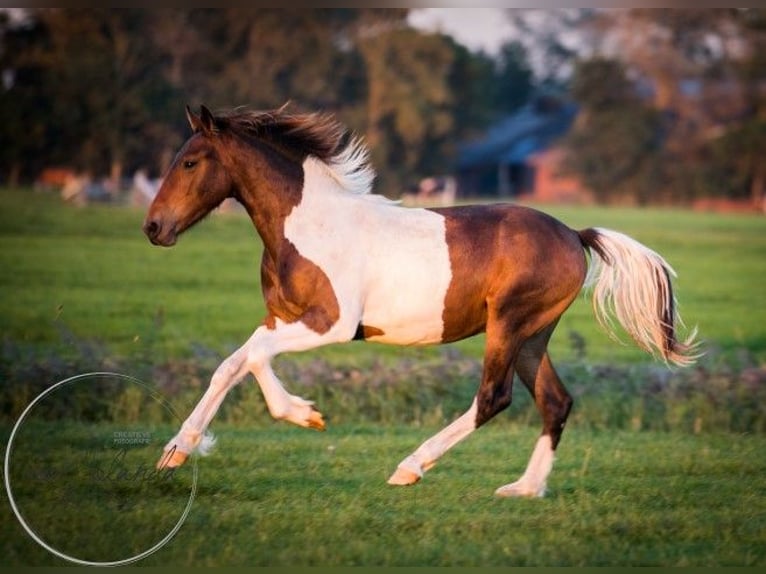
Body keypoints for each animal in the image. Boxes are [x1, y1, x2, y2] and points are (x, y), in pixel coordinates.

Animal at [141, 104, 700, 500]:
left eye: (189, 162)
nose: (153, 227)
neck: (308, 225)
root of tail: (573, 234)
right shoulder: (281, 317)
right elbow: (234, 363)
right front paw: (175, 452)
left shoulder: (332, 323)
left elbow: (253, 356)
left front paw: (305, 416)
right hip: (533, 335)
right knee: (555, 401)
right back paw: (524, 488)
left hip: (509, 324)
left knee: (493, 398)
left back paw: (409, 468)